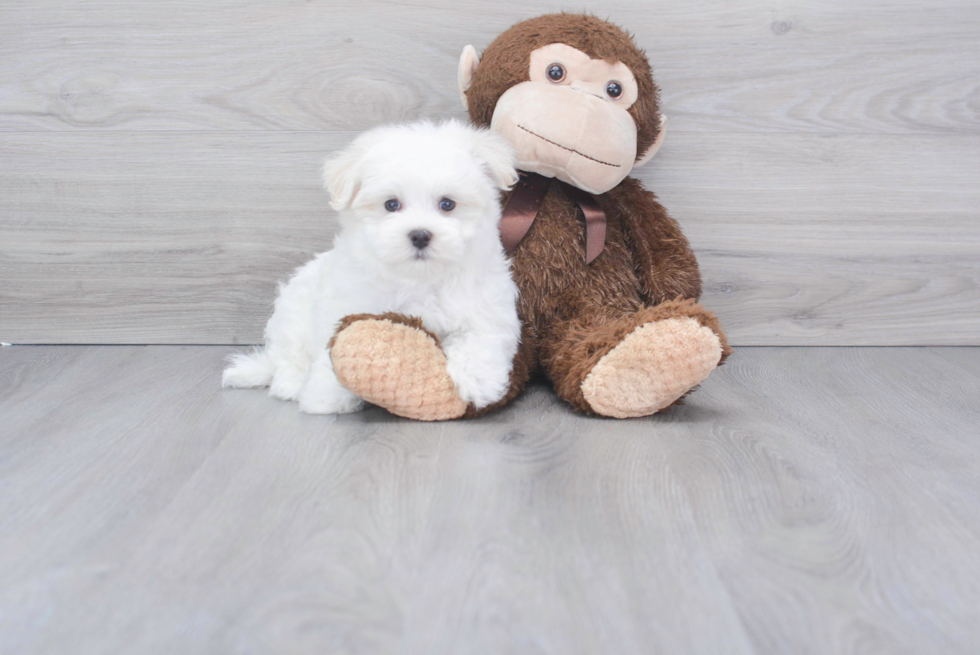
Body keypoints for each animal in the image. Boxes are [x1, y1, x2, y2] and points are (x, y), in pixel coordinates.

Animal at [223, 121, 524, 416]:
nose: (420, 235)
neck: (418, 278)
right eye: (391, 204)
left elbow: (481, 339)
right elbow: (332, 349)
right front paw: (327, 397)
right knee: (288, 358)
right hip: (292, 315)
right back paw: (291, 383)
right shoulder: (348, 305)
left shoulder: (486, 305)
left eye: (447, 204)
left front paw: (479, 383)